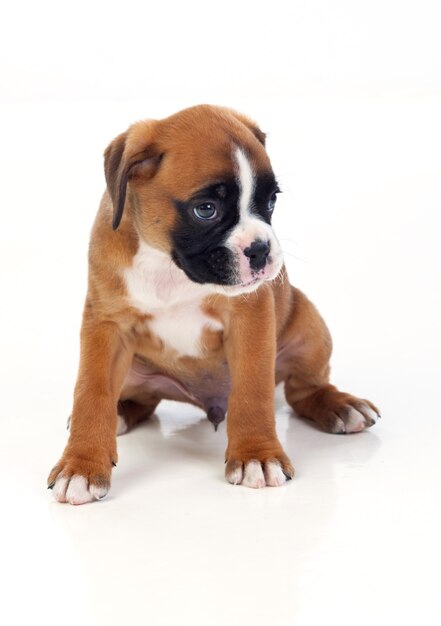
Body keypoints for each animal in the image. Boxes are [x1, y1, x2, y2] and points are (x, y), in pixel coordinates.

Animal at [47, 102, 378, 502]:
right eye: (206, 209)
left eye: (271, 201)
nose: (261, 249)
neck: (167, 264)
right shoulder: (106, 326)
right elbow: (91, 393)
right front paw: (81, 464)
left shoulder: (250, 319)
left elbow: (252, 392)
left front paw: (256, 456)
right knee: (142, 400)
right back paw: (121, 411)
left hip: (310, 327)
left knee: (304, 390)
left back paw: (340, 406)